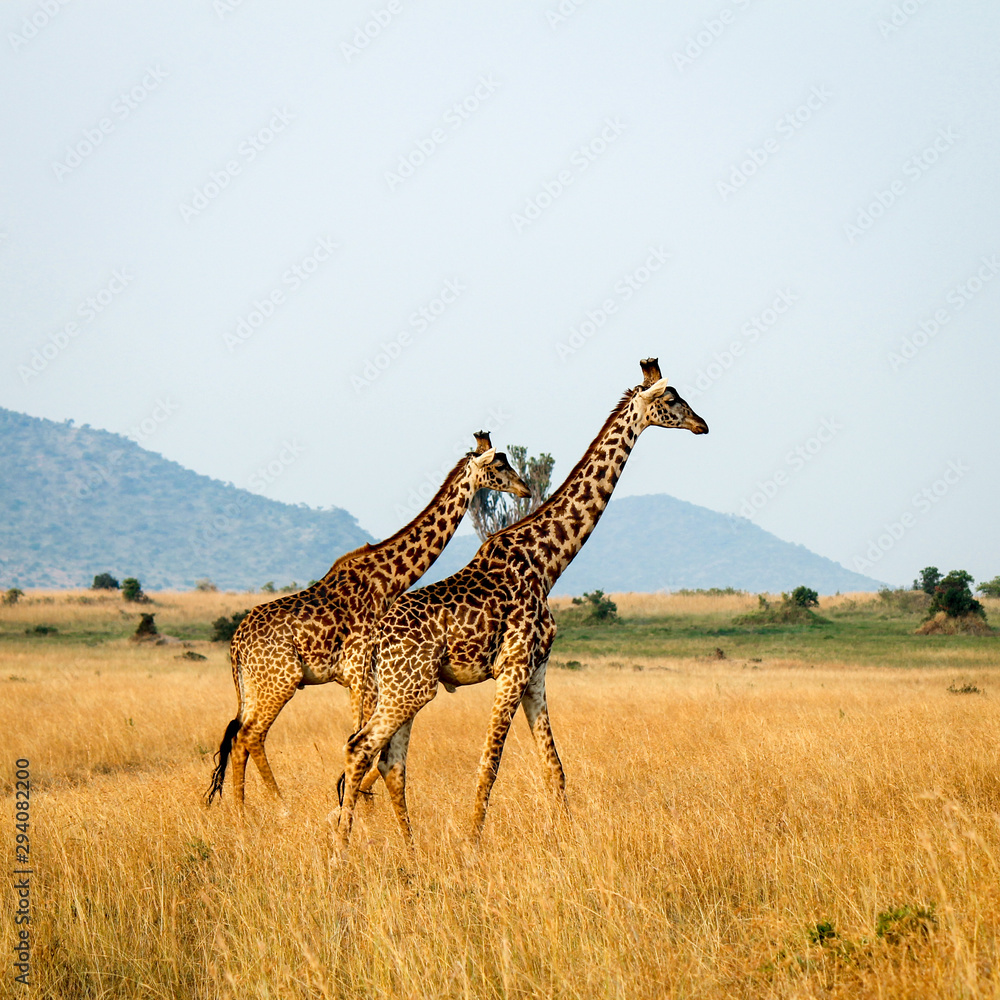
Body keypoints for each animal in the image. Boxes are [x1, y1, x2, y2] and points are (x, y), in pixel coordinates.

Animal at [204, 432, 530, 817]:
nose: (525, 488)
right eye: (499, 466)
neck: (389, 579)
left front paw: (357, 800)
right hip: (281, 681)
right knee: (250, 734)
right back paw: (279, 806)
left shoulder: (357, 680)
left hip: (256, 684)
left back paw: (240, 811)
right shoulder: (363, 675)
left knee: (238, 735)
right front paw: (355, 803)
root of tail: (235, 645)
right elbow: (362, 741)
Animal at [334, 359, 708, 854]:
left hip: (398, 689)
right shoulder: (512, 667)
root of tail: (371, 642)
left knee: (389, 761)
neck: (548, 562)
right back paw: (339, 850)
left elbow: (554, 767)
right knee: (360, 748)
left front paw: (569, 840)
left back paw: (409, 852)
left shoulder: (537, 671)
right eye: (671, 399)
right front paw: (471, 845)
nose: (702, 424)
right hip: (408, 689)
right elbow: (489, 765)